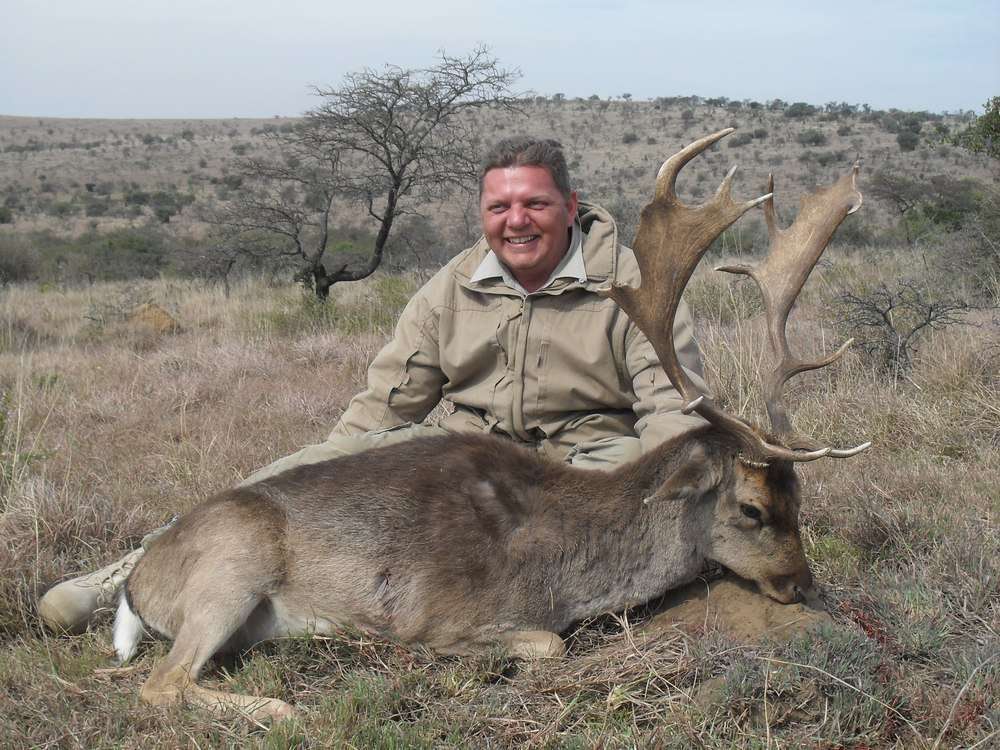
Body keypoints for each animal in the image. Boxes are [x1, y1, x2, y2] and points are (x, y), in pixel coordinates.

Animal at [113, 129, 870, 722]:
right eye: (751, 508)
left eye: (799, 498)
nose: (803, 585)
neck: (561, 563)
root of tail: (139, 581)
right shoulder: (443, 616)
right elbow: (549, 643)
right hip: (231, 569)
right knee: (159, 683)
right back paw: (280, 706)